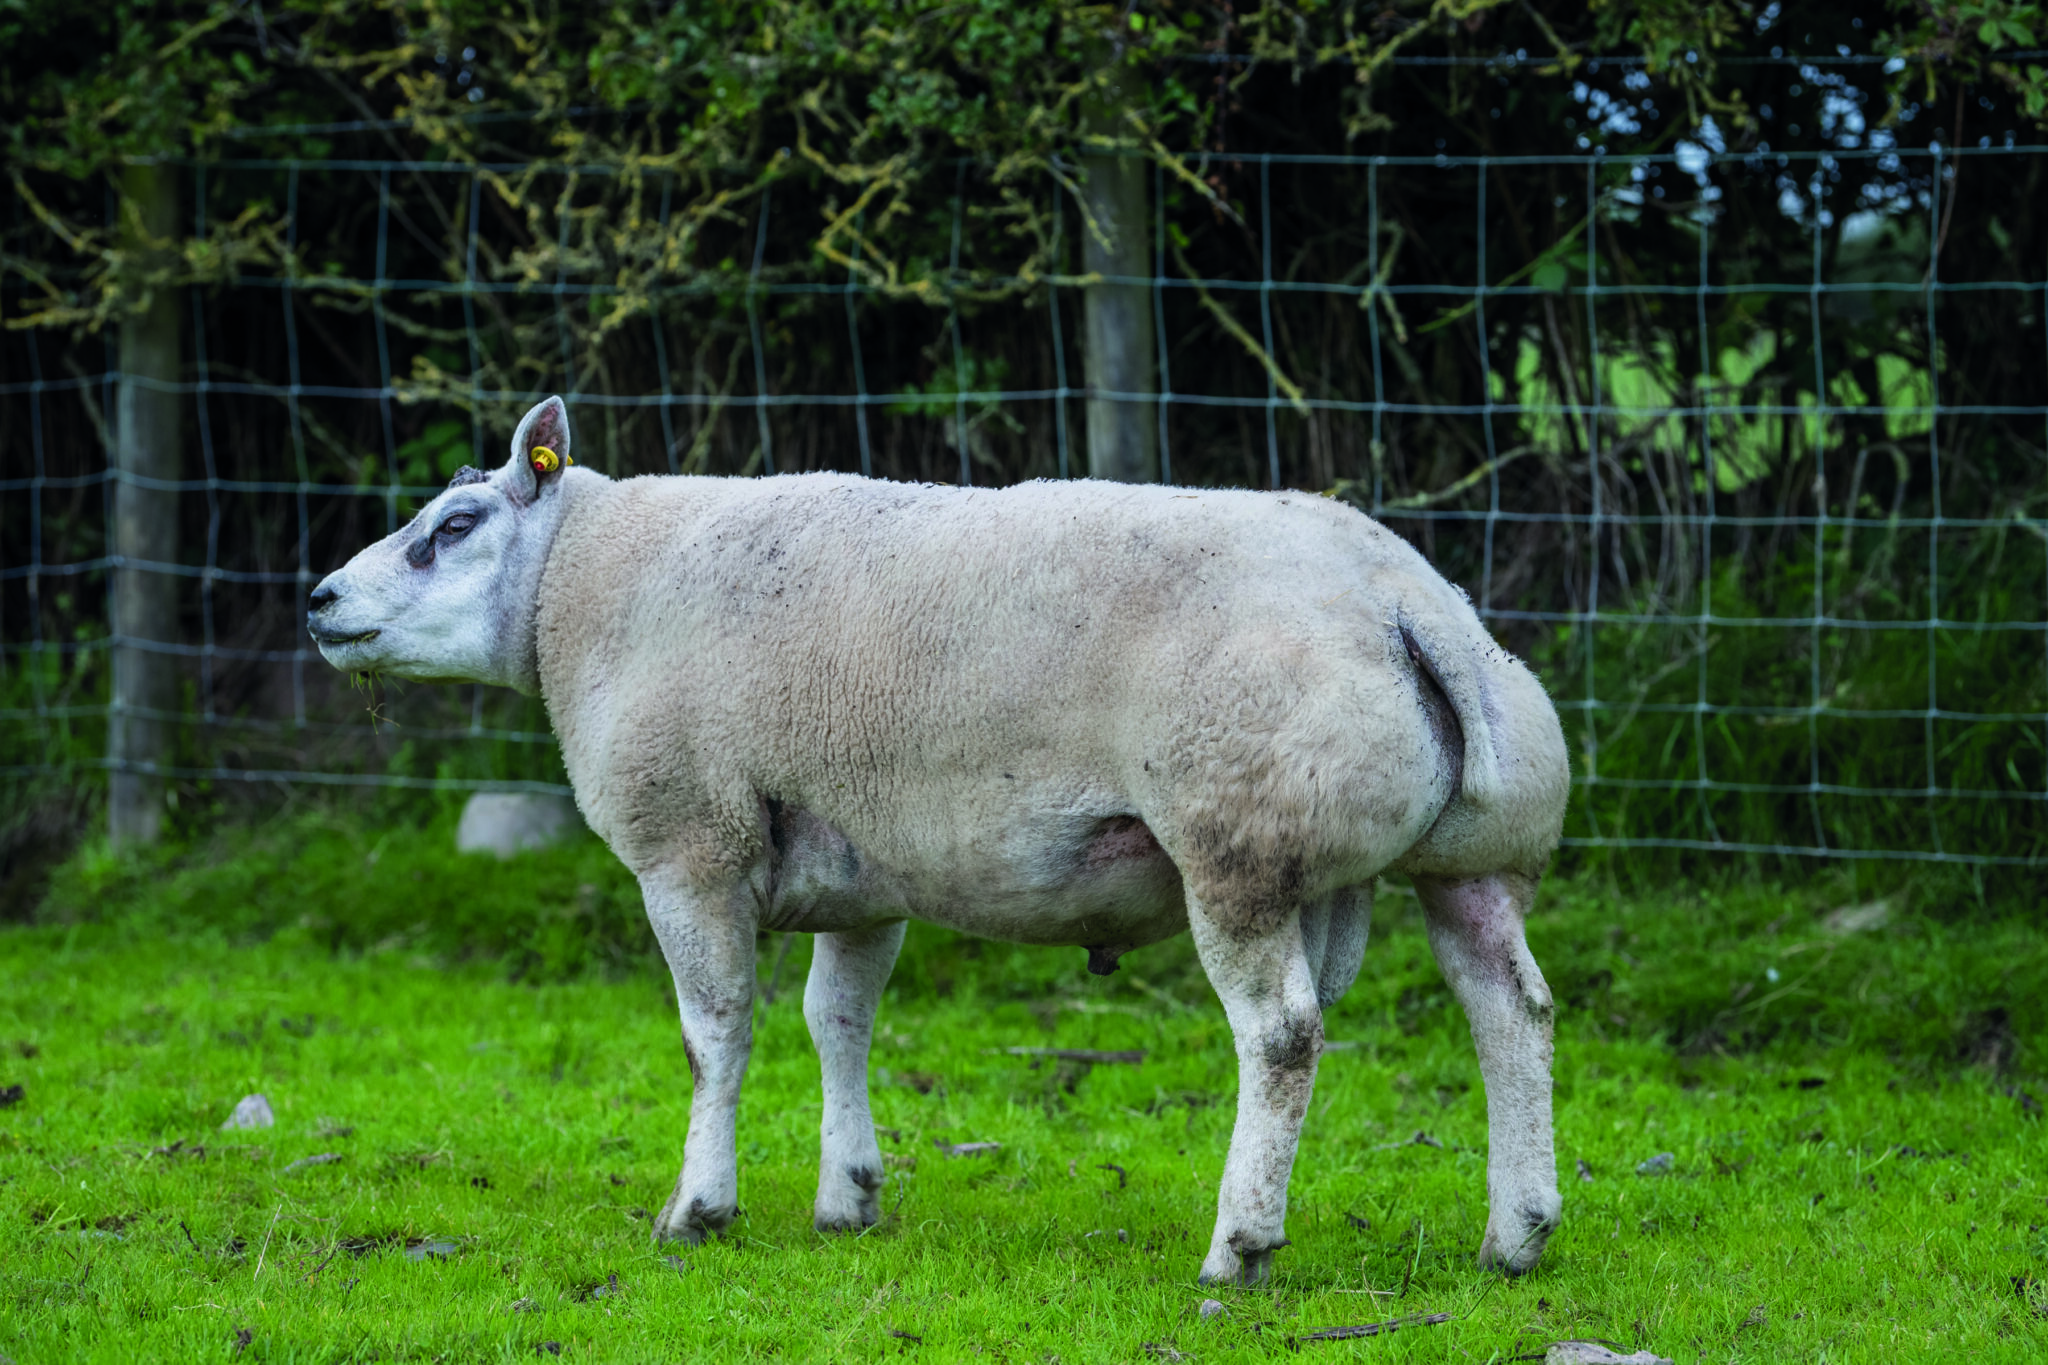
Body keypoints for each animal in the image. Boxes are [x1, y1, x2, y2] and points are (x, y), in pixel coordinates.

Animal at [308, 395, 1572, 1286]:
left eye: (453, 527)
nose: (318, 602)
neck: (584, 587)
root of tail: (1402, 601)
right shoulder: (861, 867)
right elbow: (836, 1021)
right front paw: (847, 1197)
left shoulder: (690, 845)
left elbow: (715, 1035)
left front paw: (697, 1211)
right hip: (1471, 858)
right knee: (1509, 1009)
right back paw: (1515, 1234)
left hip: (1237, 845)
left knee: (1282, 1036)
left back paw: (1239, 1246)